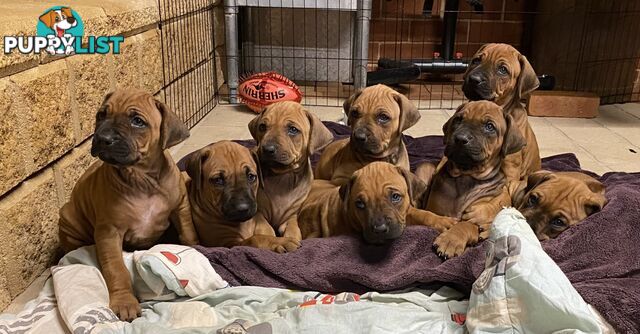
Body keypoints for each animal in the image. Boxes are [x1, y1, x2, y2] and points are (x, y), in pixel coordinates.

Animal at [58, 89, 198, 320]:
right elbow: (116, 269)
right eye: (101, 115)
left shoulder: (181, 208)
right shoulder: (109, 233)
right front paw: (124, 301)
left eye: (137, 121)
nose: (103, 138)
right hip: (69, 218)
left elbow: (188, 234)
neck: (141, 179)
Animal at [248, 100, 332, 252]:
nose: (267, 149)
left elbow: (294, 230)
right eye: (262, 127)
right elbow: (266, 229)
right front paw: (275, 241)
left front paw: (291, 239)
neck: (282, 178)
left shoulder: (291, 216)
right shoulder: (259, 213)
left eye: (293, 129)